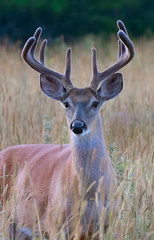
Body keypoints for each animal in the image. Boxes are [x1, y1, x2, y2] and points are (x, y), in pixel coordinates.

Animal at [0, 20, 134, 238]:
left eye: (95, 103)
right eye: (66, 104)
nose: (77, 125)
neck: (89, 196)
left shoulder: (108, 226)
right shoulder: (55, 224)